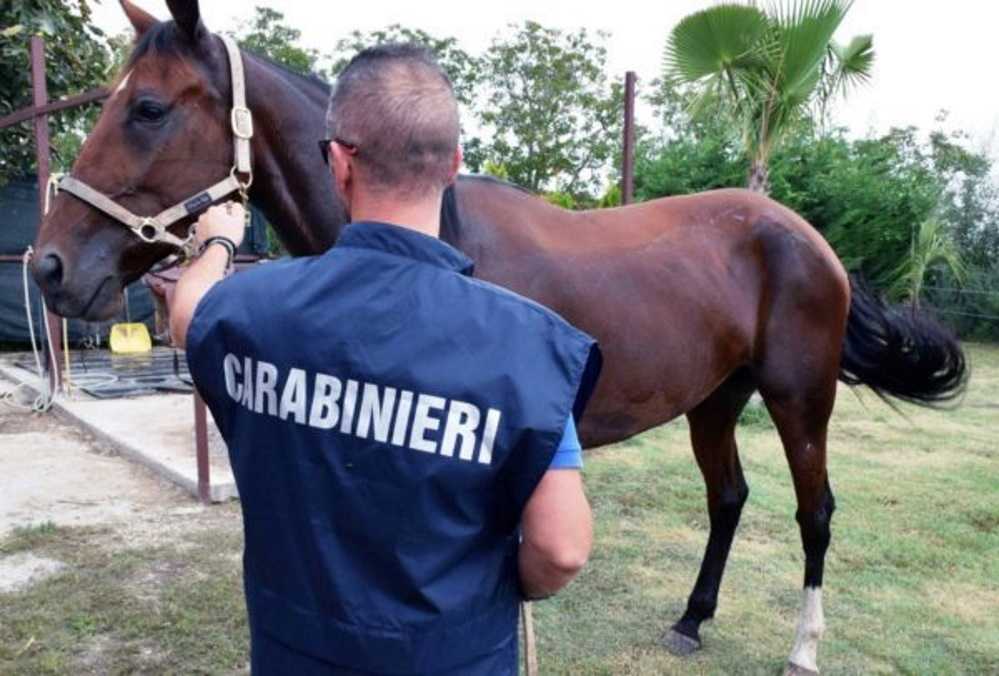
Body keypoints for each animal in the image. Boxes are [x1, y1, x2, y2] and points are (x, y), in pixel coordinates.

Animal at [31, 2, 966, 673]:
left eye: (148, 108)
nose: (47, 266)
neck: (435, 237)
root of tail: (804, 236)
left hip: (797, 398)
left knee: (814, 512)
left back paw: (802, 647)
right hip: (714, 400)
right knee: (728, 500)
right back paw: (691, 620)